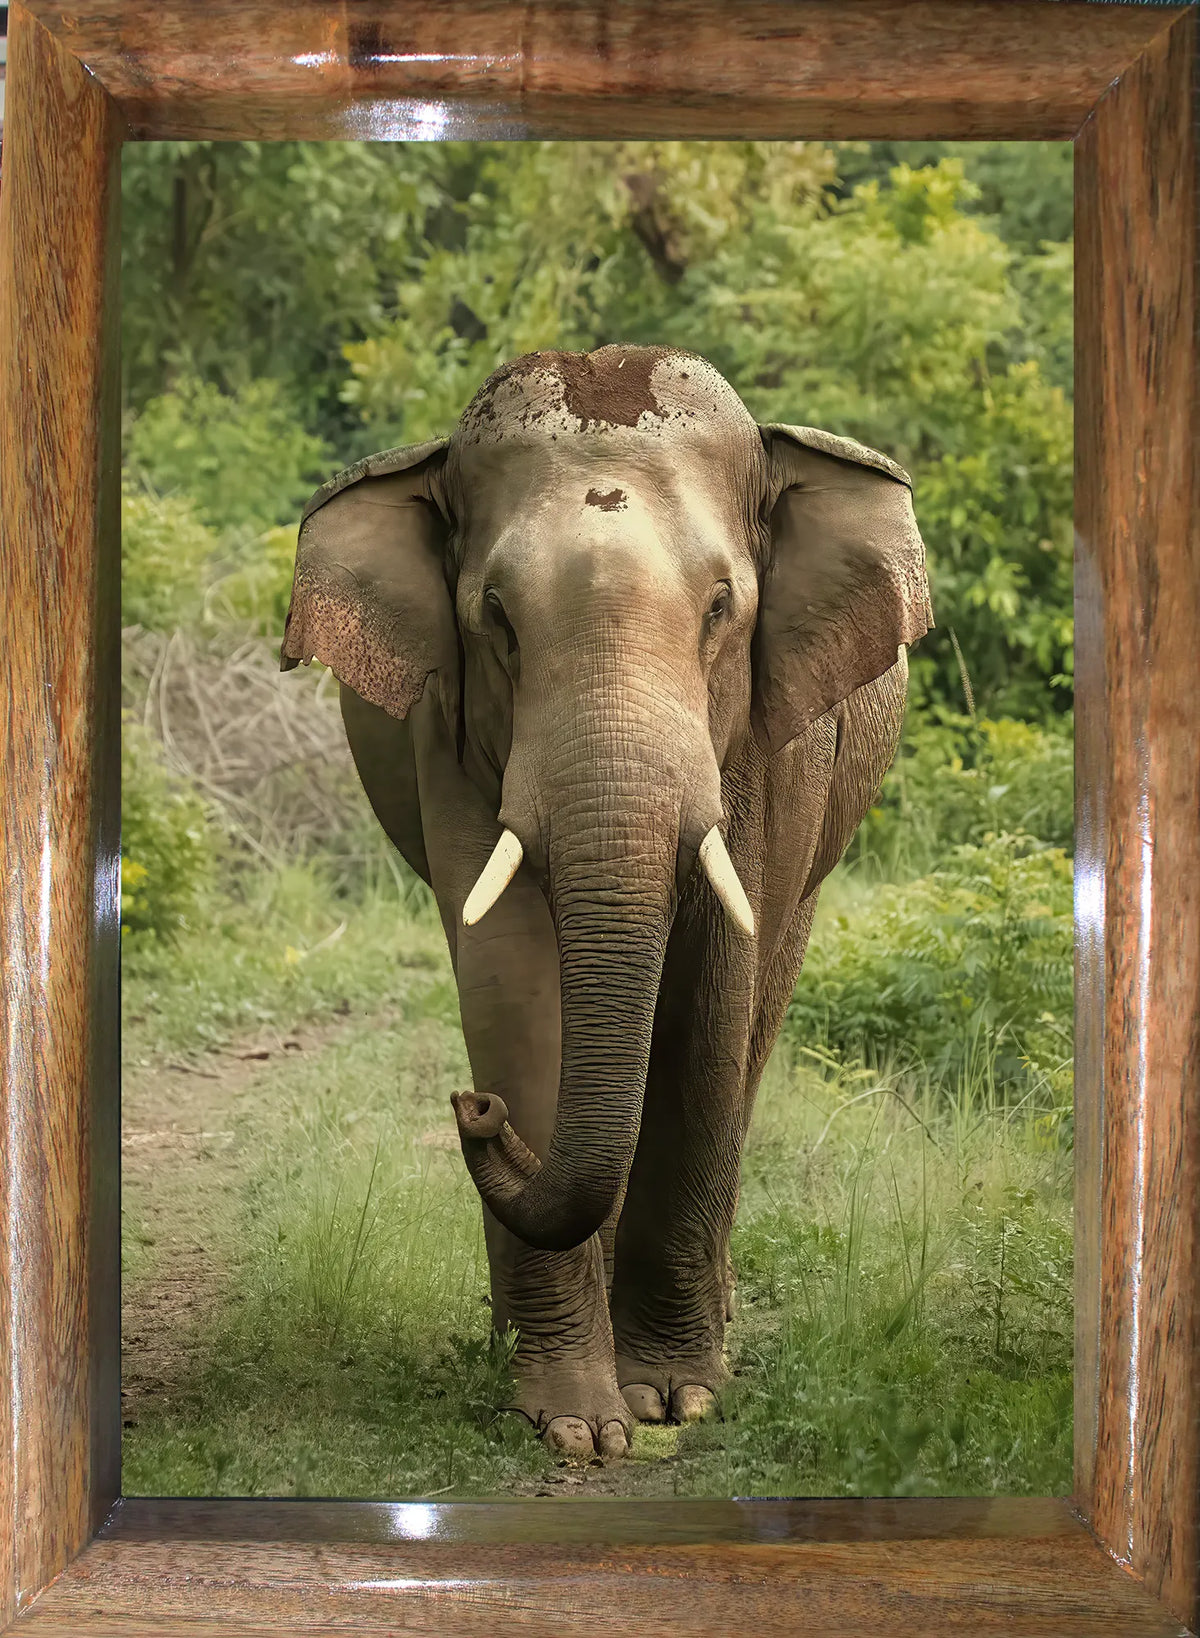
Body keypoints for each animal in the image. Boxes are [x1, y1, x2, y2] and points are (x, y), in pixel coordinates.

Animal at [280, 345, 932, 1460]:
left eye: (721, 608)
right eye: (496, 620)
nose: (473, 1107)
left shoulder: (772, 744)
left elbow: (714, 988)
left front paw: (675, 1399)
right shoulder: (449, 732)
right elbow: (509, 976)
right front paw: (576, 1423)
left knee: (761, 1006)